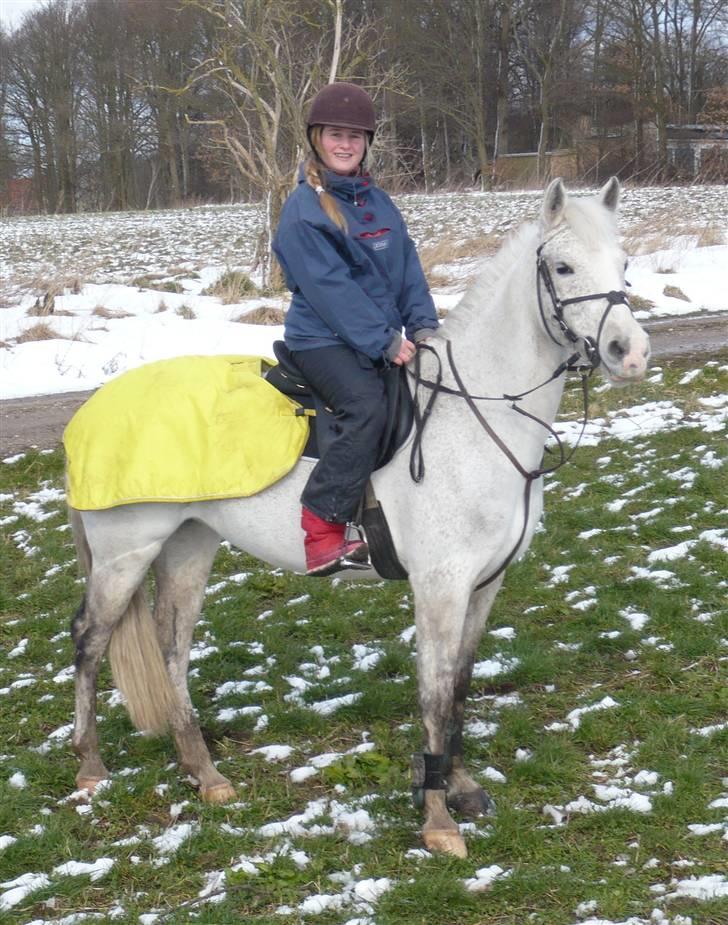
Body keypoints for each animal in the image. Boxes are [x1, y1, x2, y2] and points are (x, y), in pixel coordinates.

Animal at [67, 179, 648, 860]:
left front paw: (460, 786)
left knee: (170, 646)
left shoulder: (485, 583)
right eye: (562, 268)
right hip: (125, 552)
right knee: (90, 640)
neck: (474, 417)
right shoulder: (440, 586)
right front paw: (438, 820)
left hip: (189, 543)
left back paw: (204, 774)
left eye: (625, 266)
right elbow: (433, 693)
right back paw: (90, 767)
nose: (630, 353)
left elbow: (459, 685)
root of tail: (91, 412)